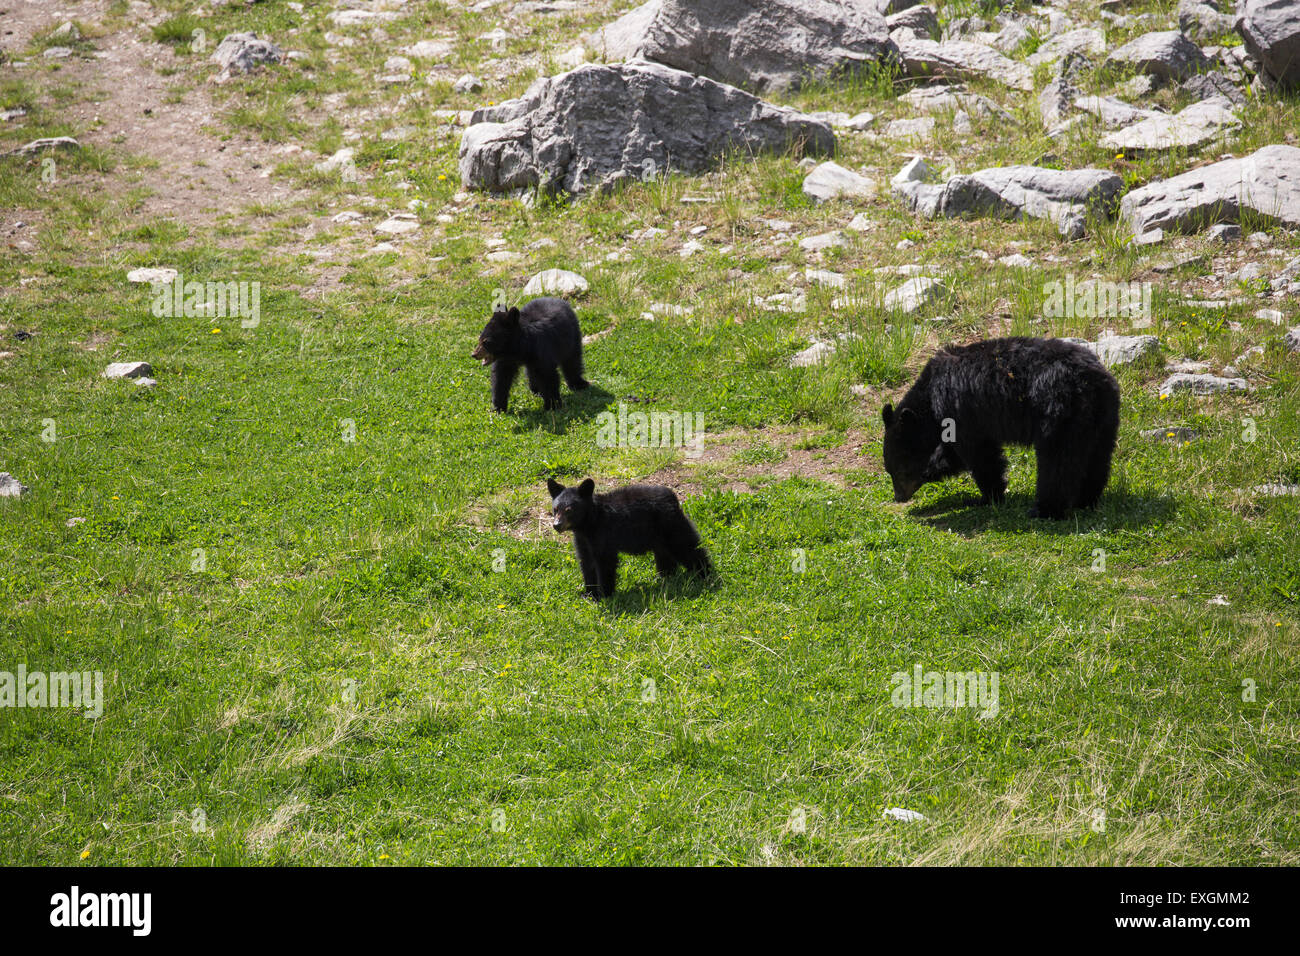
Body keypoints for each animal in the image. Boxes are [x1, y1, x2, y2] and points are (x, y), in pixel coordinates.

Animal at [546, 478, 713, 600]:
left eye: (569, 510)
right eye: (555, 509)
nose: (557, 525)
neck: (588, 525)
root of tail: (673, 497)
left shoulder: (603, 536)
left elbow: (605, 563)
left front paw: (604, 595)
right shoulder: (582, 541)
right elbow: (586, 564)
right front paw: (588, 594)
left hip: (671, 525)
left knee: (687, 547)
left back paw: (705, 573)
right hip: (658, 535)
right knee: (664, 554)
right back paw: (666, 576)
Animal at [881, 336, 1120, 519]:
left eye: (898, 470)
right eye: (890, 470)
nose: (899, 496)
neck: (931, 397)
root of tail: (1092, 382)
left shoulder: (960, 411)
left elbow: (980, 455)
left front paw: (988, 497)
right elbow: (957, 453)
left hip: (1058, 412)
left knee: (1058, 463)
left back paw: (1044, 509)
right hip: (1104, 418)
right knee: (1097, 458)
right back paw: (1085, 499)